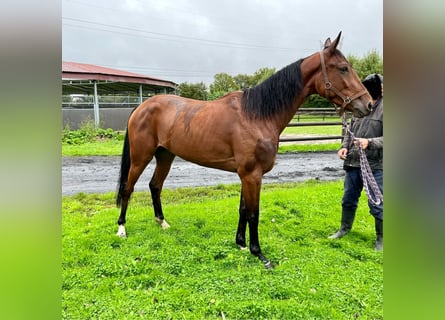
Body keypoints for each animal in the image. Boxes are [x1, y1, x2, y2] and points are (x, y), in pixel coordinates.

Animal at [114, 31, 372, 268]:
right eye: (343, 68)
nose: (368, 104)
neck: (257, 115)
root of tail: (142, 106)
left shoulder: (246, 174)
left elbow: (242, 210)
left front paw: (240, 244)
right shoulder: (252, 175)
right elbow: (253, 214)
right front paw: (259, 254)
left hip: (165, 156)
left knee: (155, 186)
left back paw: (162, 222)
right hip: (140, 157)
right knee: (128, 188)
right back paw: (122, 229)